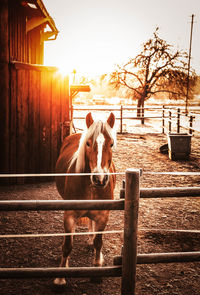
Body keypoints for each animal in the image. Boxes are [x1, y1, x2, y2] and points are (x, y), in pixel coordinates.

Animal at [54, 112, 117, 286]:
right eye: (88, 143)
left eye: (111, 144)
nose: (99, 179)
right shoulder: (69, 216)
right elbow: (67, 246)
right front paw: (60, 278)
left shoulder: (103, 216)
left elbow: (98, 242)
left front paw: (96, 271)